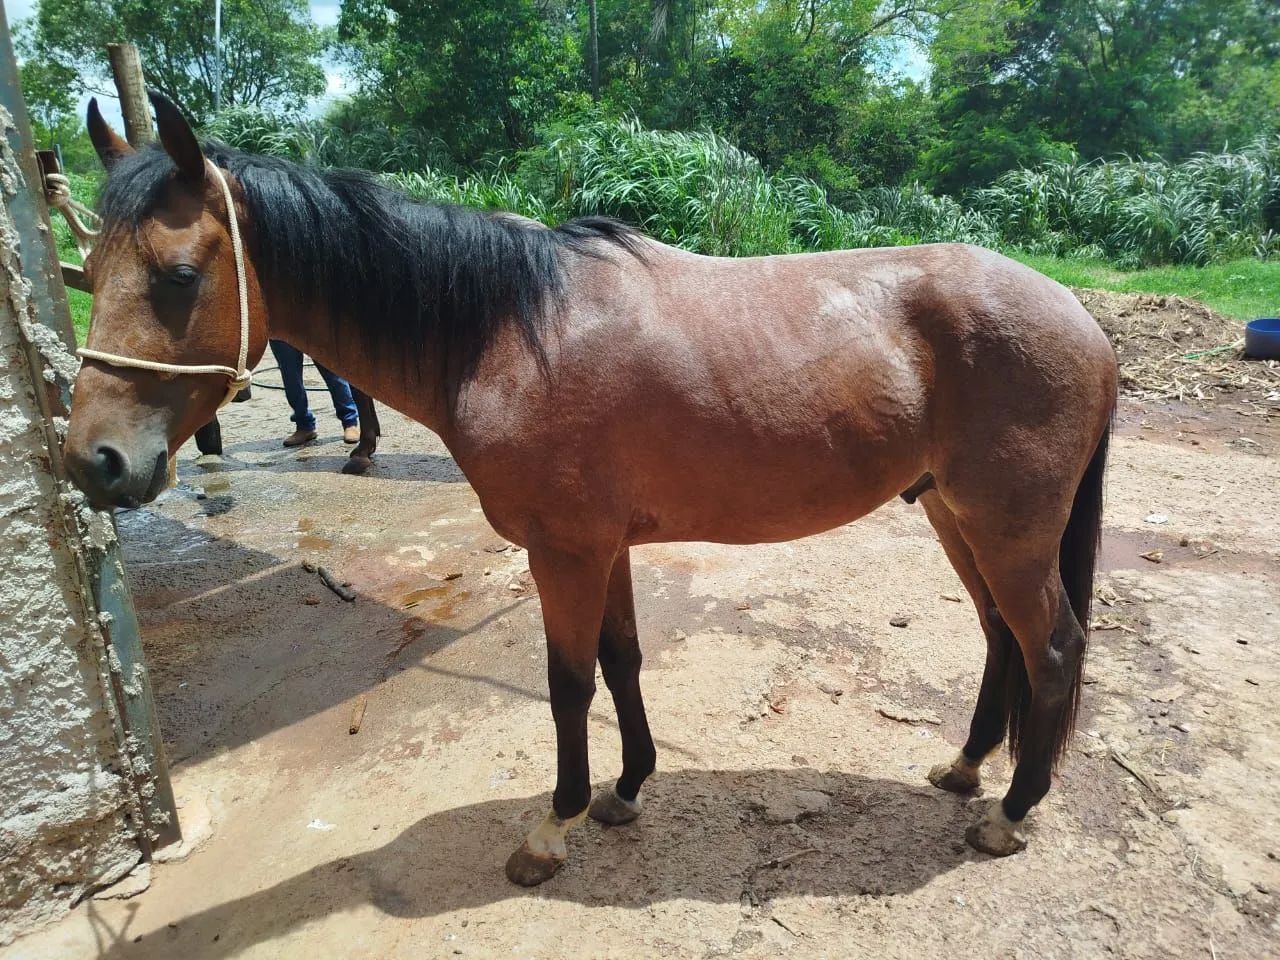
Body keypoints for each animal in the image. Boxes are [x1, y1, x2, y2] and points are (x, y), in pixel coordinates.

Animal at [64, 92, 1117, 886]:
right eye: (87, 273)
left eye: (178, 275)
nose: (94, 463)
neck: (511, 332)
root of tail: (1083, 322)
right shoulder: (603, 546)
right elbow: (623, 662)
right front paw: (626, 790)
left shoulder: (563, 550)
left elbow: (569, 682)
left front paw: (552, 826)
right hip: (952, 514)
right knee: (1001, 639)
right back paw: (967, 769)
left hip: (1008, 528)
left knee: (1052, 646)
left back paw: (1011, 812)